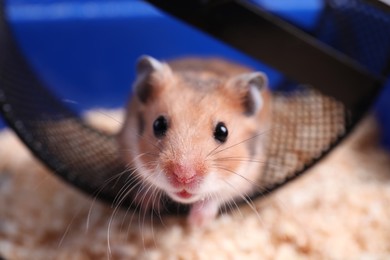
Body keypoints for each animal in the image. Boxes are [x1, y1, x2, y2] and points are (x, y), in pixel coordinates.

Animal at [118, 55, 272, 228]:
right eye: (158, 124)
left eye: (223, 131)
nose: (183, 177)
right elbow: (146, 182)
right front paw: (145, 204)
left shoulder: (245, 177)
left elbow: (216, 197)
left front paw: (196, 223)